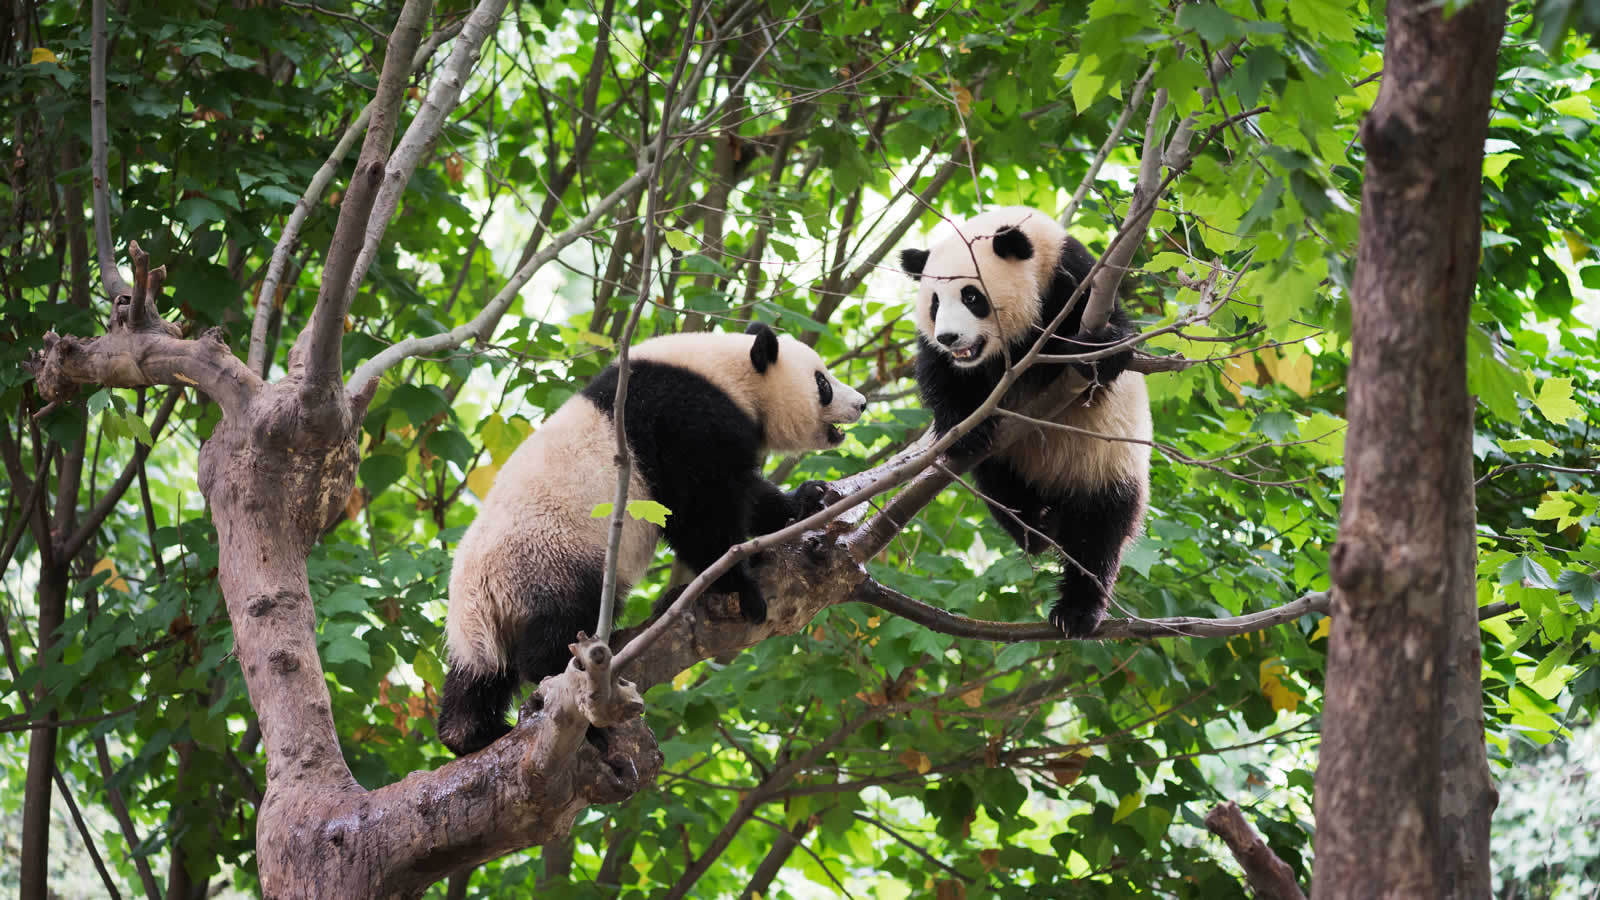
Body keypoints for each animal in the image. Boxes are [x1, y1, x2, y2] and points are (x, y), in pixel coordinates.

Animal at [438, 322, 868, 756]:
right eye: (822, 382)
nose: (862, 404)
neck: (727, 375)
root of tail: (480, 596)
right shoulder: (685, 419)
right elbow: (701, 508)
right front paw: (740, 587)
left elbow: (742, 494)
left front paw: (807, 499)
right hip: (552, 559)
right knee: (560, 629)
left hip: (485, 620)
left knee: (478, 676)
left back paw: (469, 733)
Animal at [899, 206, 1152, 638]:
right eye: (934, 303)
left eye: (971, 296)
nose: (949, 337)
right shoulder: (948, 360)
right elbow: (941, 375)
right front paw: (966, 430)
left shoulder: (1076, 282)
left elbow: (1114, 341)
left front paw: (1094, 354)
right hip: (1010, 462)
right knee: (1000, 487)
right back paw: (1036, 527)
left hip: (1108, 463)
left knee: (1099, 534)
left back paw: (1076, 611)